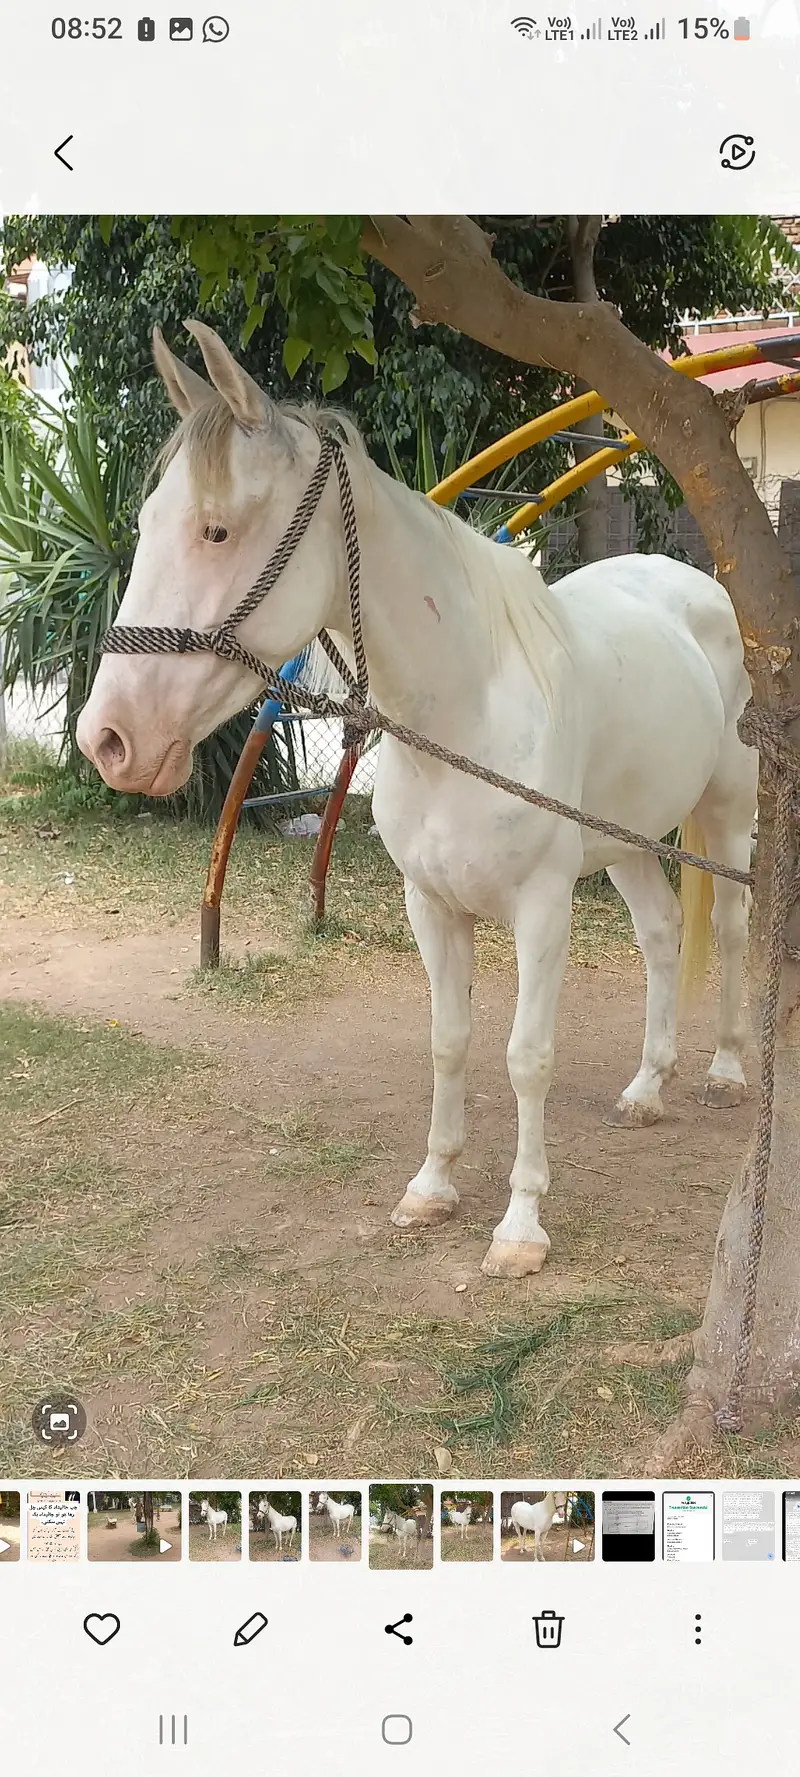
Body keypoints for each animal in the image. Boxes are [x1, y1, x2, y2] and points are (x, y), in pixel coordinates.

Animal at [77, 321, 758, 1280]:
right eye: (143, 526)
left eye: (216, 529)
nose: (108, 739)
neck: (465, 709)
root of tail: (696, 584)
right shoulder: (430, 905)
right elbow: (450, 1040)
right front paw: (432, 1186)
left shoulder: (542, 909)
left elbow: (526, 1056)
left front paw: (520, 1226)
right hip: (624, 842)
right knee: (662, 936)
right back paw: (645, 1088)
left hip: (727, 820)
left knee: (729, 932)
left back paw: (726, 1073)